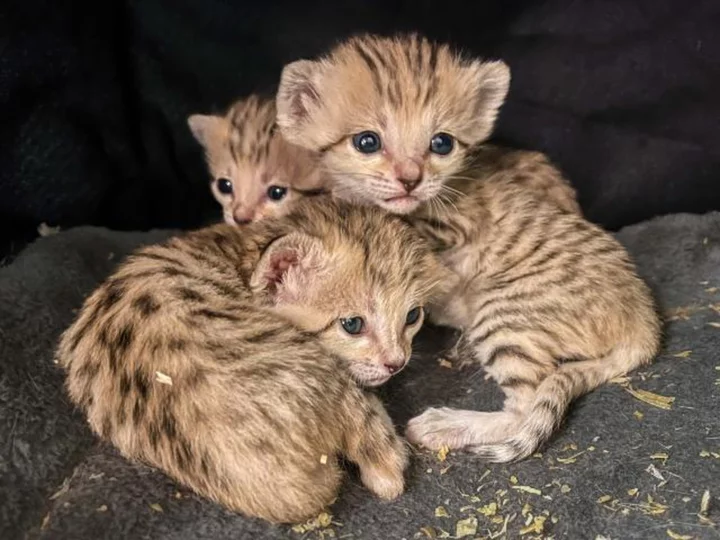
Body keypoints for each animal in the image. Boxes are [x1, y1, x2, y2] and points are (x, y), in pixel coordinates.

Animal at [54, 196, 444, 520]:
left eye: (412, 317)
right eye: (352, 324)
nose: (396, 362)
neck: (238, 251)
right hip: (331, 377)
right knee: (385, 461)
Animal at [276, 33, 664, 462]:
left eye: (441, 143)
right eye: (367, 142)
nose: (410, 179)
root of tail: (644, 319)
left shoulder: (446, 230)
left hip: (504, 312)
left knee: (524, 408)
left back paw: (446, 425)